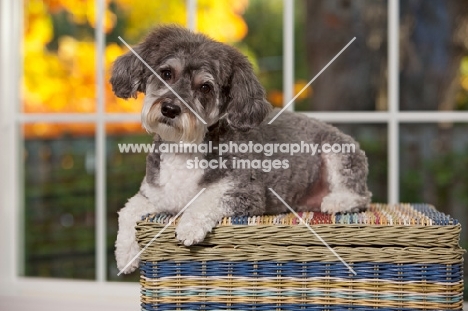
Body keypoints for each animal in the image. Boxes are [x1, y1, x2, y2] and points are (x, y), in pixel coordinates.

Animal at [109, 26, 370, 276]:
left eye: (205, 87)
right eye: (166, 73)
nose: (170, 109)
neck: (184, 150)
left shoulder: (245, 193)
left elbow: (207, 199)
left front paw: (189, 226)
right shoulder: (154, 195)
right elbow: (127, 211)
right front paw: (126, 254)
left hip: (338, 151)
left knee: (361, 195)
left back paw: (337, 201)